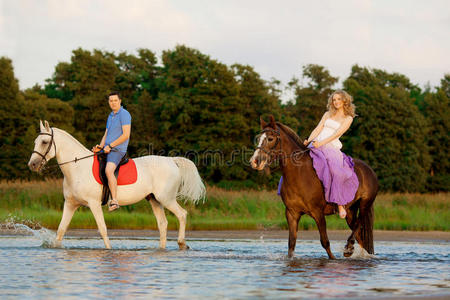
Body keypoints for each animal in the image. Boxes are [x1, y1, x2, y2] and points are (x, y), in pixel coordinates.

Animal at [26, 120, 206, 250]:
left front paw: (109, 250)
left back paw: (182, 243)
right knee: (162, 224)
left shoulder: (94, 204)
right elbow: (61, 230)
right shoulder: (70, 204)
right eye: (35, 141)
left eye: (44, 141)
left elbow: (103, 229)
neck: (77, 167)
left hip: (166, 198)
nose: (32, 165)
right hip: (154, 200)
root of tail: (172, 161)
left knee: (182, 214)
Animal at [251, 116, 378, 258]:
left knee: (359, 225)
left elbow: (325, 242)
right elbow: (291, 244)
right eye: (259, 138)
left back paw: (348, 247)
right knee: (359, 235)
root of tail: (369, 171)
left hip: (364, 204)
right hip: (350, 211)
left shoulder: (318, 213)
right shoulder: (292, 214)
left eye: (270, 138)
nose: (254, 161)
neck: (299, 173)